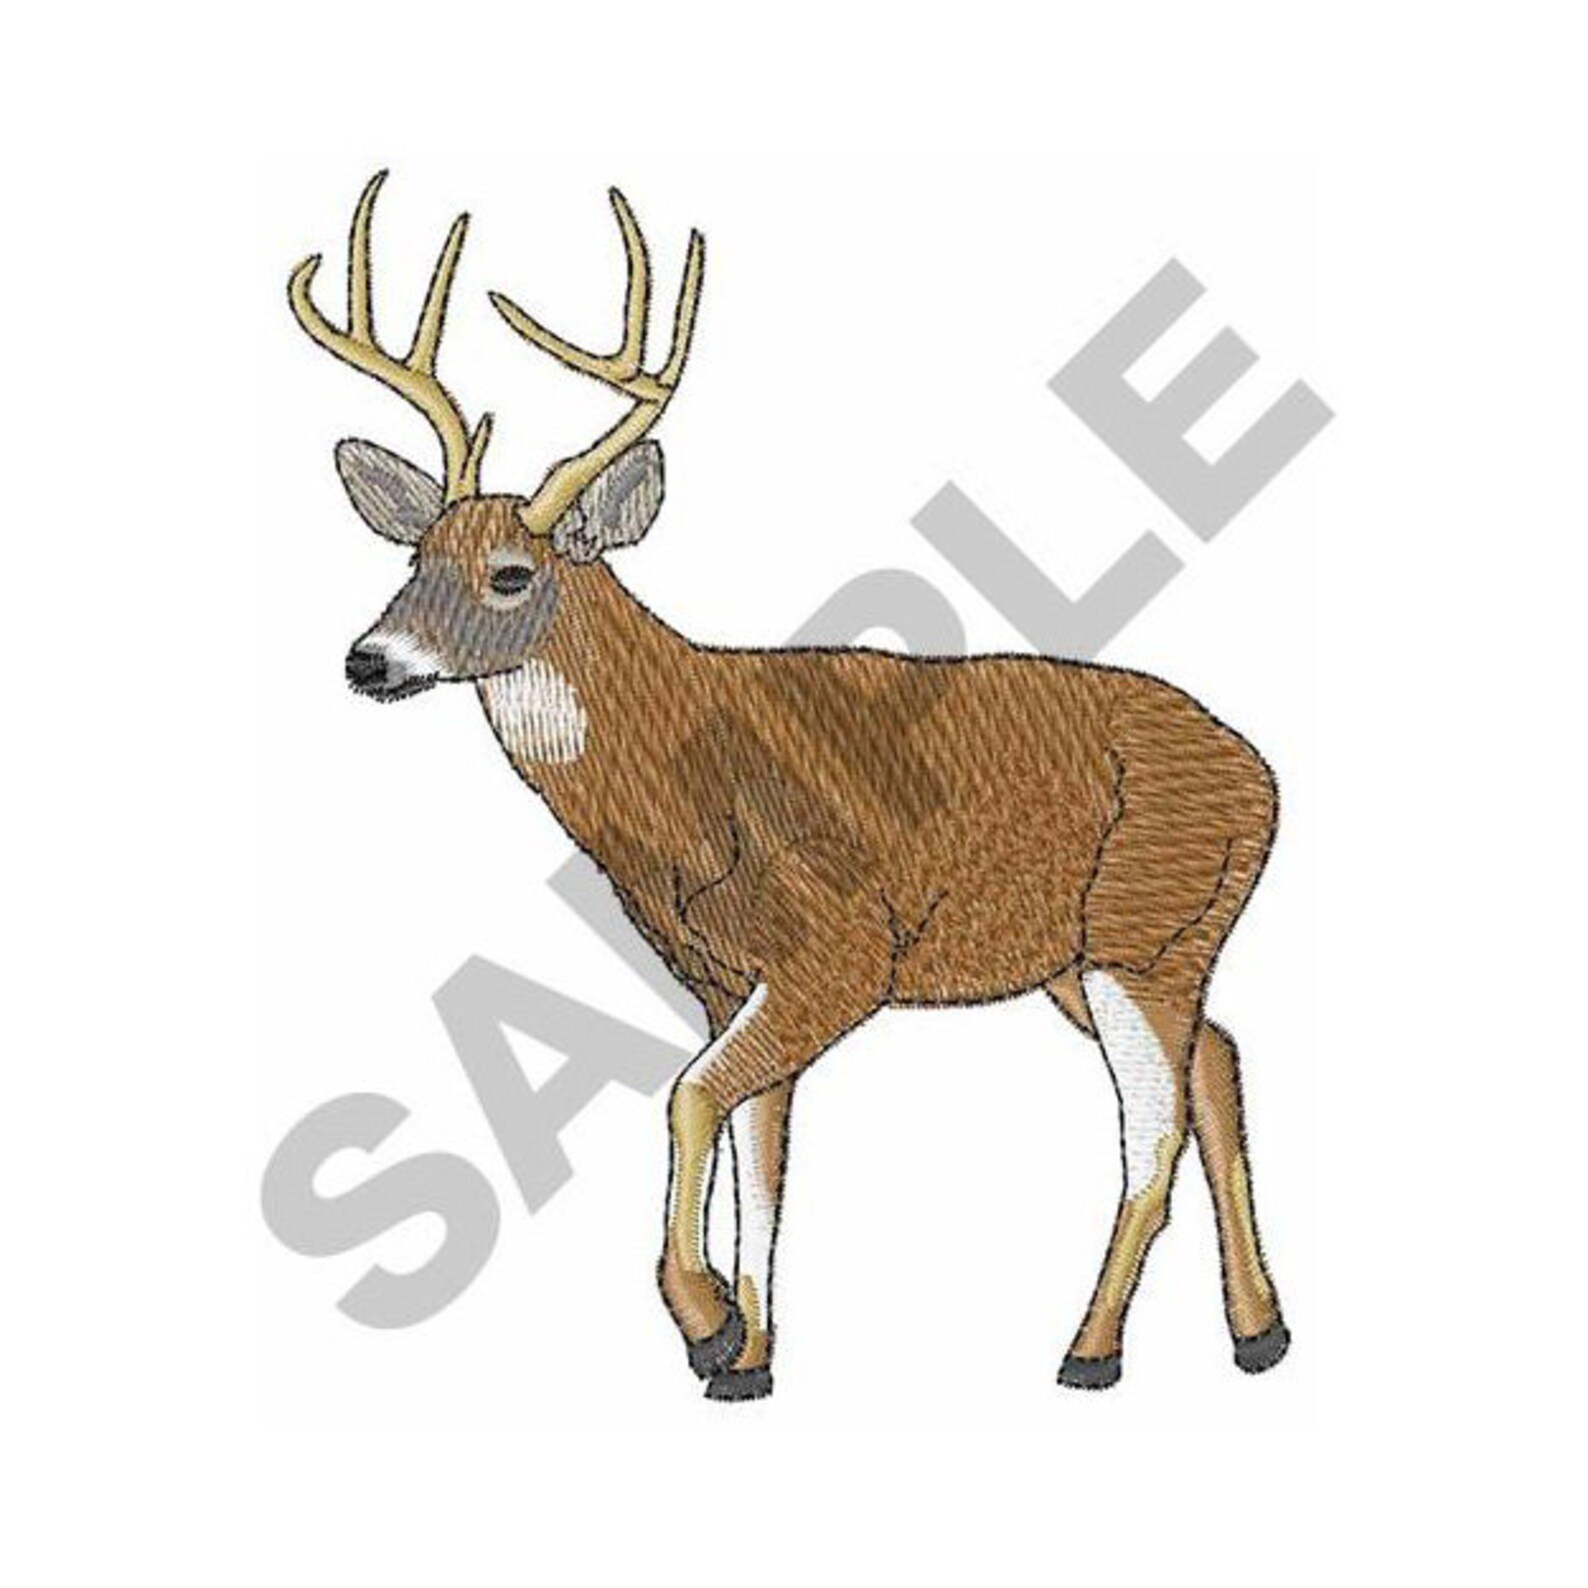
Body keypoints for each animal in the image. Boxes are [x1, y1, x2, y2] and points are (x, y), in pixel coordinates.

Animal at [287, 172, 1290, 1401]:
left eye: (510, 573)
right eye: (412, 558)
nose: (368, 661)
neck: (686, 776)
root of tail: (1263, 776)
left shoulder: (841, 951)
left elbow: (690, 1100)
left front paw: (705, 1322)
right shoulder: (728, 982)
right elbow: (758, 1167)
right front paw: (748, 1356)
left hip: (1139, 933)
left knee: (1152, 1129)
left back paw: (1088, 1351)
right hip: (1095, 954)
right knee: (1220, 1061)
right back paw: (1257, 1332)